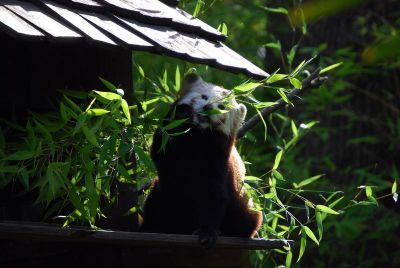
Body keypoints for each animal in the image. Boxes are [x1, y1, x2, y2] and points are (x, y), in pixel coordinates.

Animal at [141, 73, 262, 247]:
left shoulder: (218, 160)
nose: (208, 108)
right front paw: (182, 113)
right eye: (204, 97)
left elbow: (213, 195)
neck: (197, 135)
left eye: (222, 106)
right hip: (161, 193)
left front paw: (207, 232)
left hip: (246, 209)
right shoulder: (169, 150)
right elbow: (160, 150)